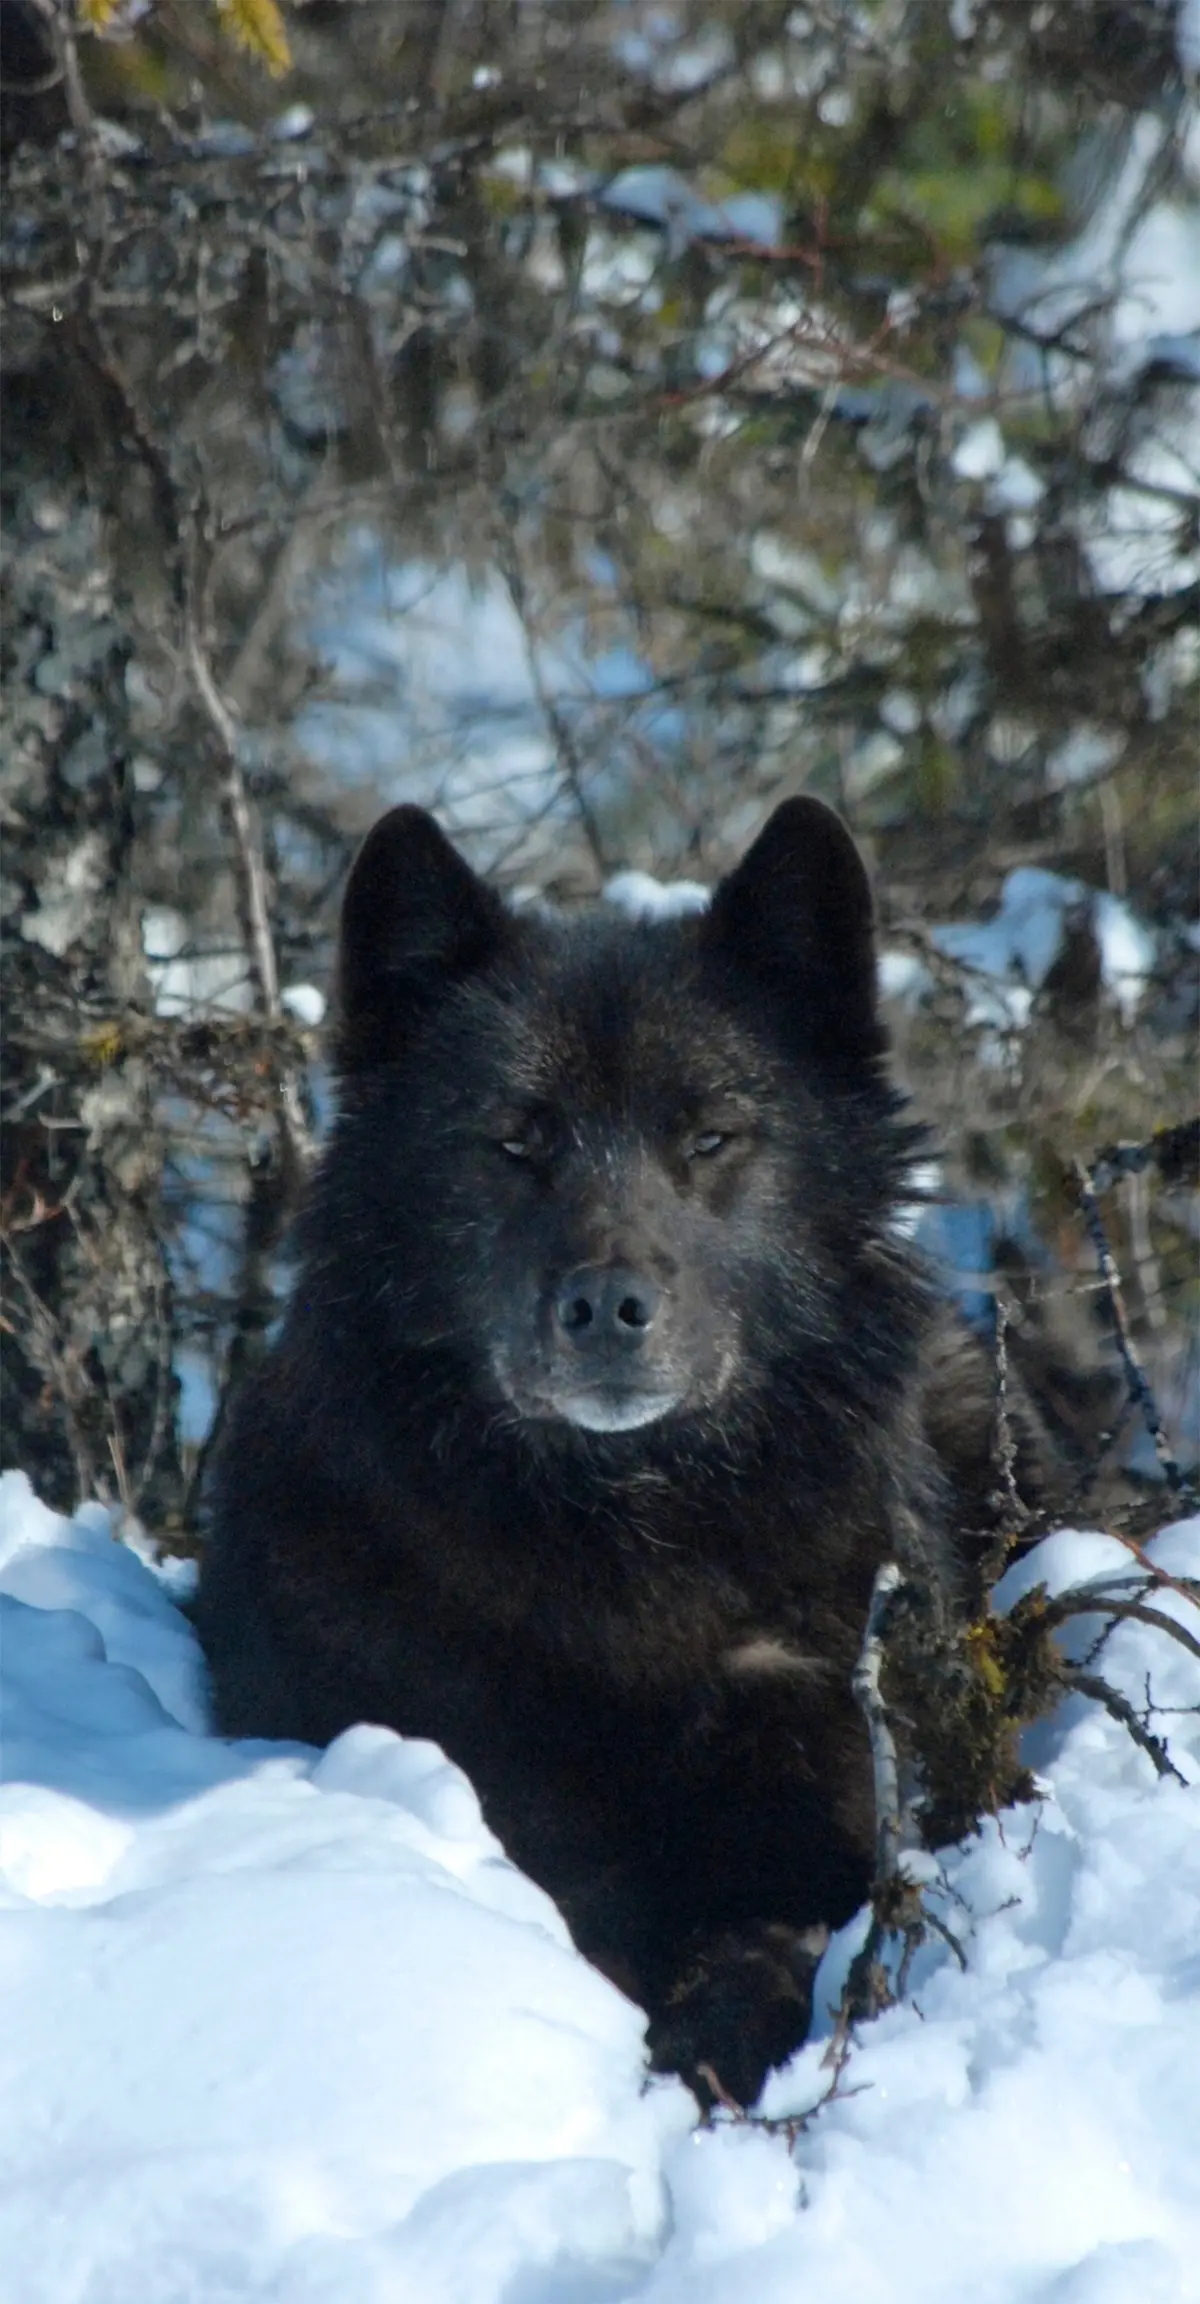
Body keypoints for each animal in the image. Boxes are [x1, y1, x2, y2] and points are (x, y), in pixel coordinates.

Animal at [199, 797, 986, 2105]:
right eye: (516, 1140)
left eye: (712, 1135)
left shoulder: (832, 1799)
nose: (609, 1307)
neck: (626, 1550)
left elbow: (777, 1942)